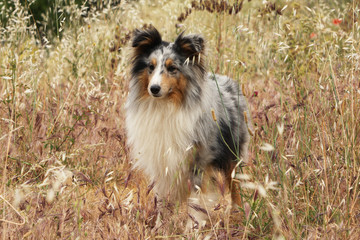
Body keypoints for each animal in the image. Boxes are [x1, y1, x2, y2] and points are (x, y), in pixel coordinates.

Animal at [126, 27, 250, 228]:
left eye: (172, 68)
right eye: (150, 67)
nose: (154, 88)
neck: (167, 106)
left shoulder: (199, 161)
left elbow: (197, 200)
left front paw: (194, 227)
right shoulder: (162, 162)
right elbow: (161, 198)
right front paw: (160, 225)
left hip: (233, 153)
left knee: (235, 184)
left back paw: (239, 212)